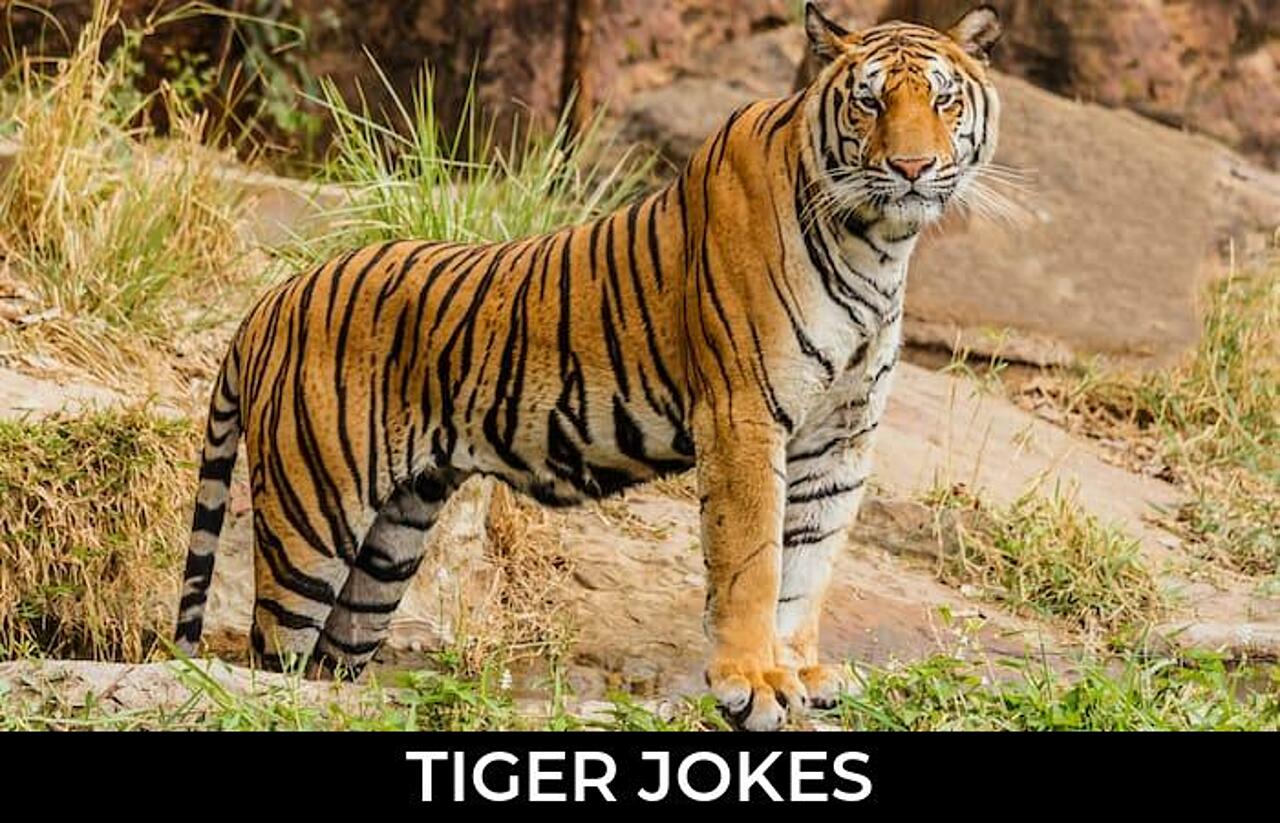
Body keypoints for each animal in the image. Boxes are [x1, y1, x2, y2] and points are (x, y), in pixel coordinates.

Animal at [173, 2, 1002, 731]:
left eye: (943, 99)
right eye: (868, 102)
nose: (912, 166)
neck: (878, 244)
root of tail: (271, 299)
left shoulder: (840, 436)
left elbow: (809, 565)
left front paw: (797, 671)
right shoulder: (744, 414)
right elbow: (754, 561)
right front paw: (753, 684)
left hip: (390, 543)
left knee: (328, 663)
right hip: (311, 519)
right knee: (270, 657)